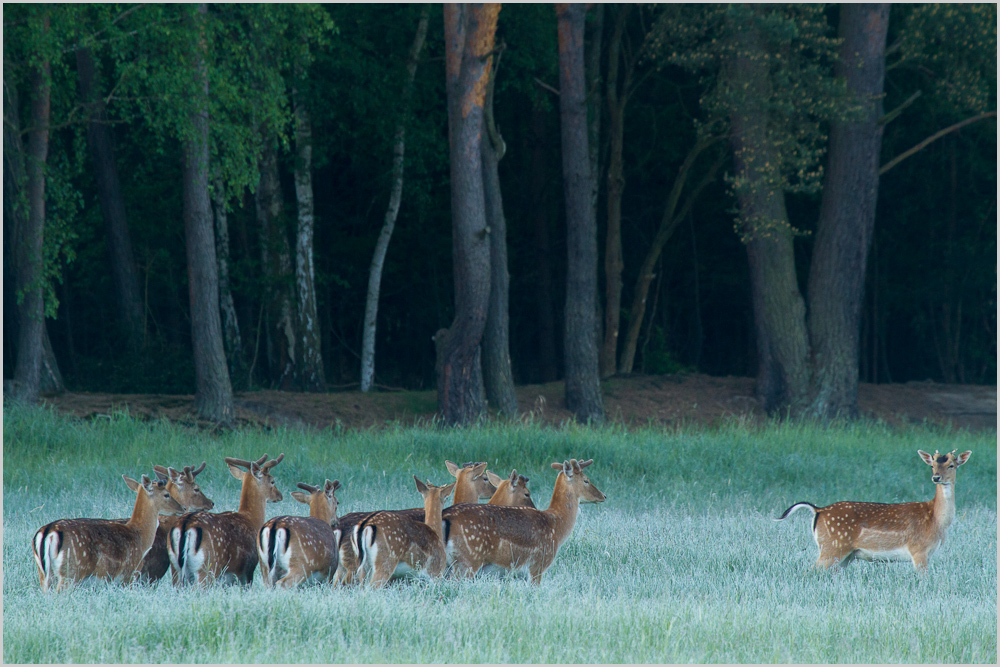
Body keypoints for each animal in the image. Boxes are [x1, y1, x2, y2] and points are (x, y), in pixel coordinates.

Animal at [31, 472, 186, 592]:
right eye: (166, 494)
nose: (182, 508)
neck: (140, 538)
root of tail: (48, 532)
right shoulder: (129, 574)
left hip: (44, 574)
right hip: (71, 572)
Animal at [168, 454, 284, 584]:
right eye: (272, 481)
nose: (280, 495)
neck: (251, 519)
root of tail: (185, 527)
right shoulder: (248, 568)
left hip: (175, 569)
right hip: (207, 566)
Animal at [772, 448, 976, 568]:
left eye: (951, 465)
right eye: (932, 465)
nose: (936, 477)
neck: (936, 520)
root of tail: (818, 510)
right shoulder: (918, 550)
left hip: (844, 555)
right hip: (832, 547)